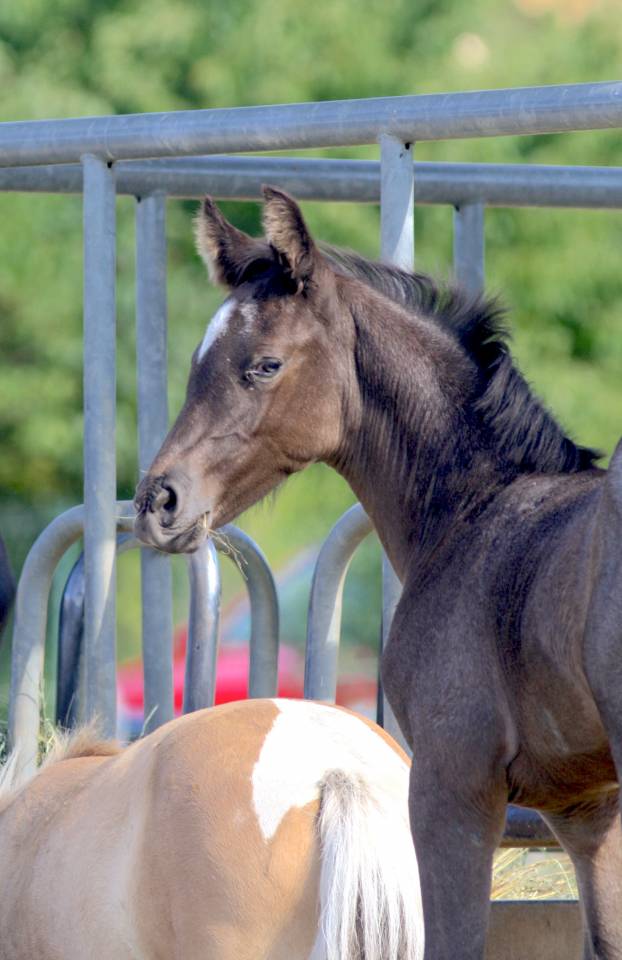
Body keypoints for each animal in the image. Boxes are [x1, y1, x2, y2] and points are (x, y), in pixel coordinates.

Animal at [134, 188, 622, 960]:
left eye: (265, 365)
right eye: (195, 361)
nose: (158, 502)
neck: (469, 510)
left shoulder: (452, 784)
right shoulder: (587, 810)